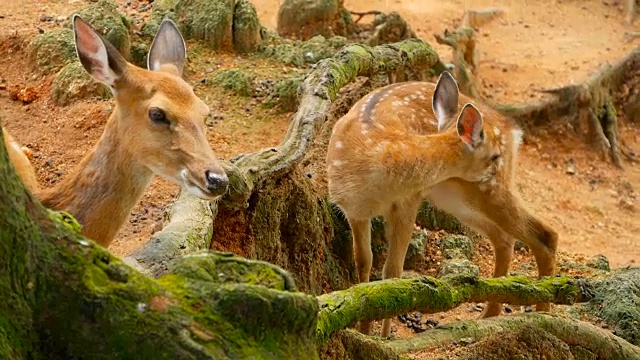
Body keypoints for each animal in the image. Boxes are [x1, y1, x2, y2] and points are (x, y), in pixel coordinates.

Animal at [328, 72, 556, 338]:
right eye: (493, 156)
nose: (497, 166)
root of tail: (513, 130)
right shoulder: (354, 210)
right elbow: (364, 262)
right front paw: (363, 329)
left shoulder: (409, 201)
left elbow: (392, 272)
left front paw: (382, 337)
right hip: (454, 196)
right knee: (505, 238)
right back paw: (489, 314)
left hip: (481, 192)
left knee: (545, 234)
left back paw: (543, 314)